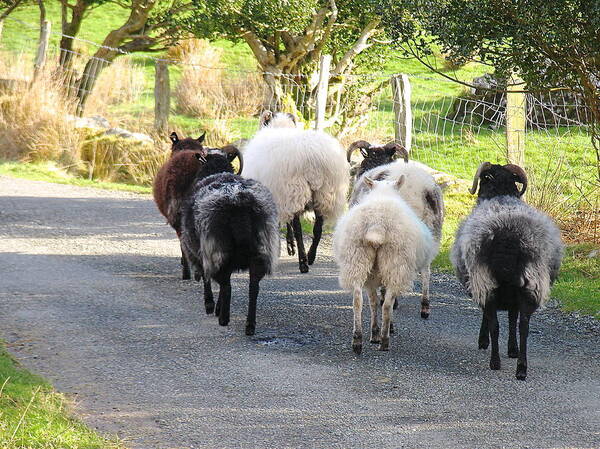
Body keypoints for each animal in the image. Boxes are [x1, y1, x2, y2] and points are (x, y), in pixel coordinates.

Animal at [241, 112, 350, 272]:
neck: (280, 127)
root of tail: (313, 159)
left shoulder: (278, 195)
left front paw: (285, 247)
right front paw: (289, 246)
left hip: (294, 191)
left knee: (298, 228)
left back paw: (303, 262)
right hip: (324, 194)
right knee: (318, 229)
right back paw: (310, 256)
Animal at [332, 175, 436, 354]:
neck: (383, 194)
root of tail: (377, 224)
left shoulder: (373, 277)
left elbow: (374, 302)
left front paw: (374, 332)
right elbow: (386, 301)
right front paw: (388, 329)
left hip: (357, 259)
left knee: (358, 301)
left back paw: (359, 339)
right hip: (395, 262)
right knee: (387, 305)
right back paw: (384, 340)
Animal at [452, 161, 564, 378]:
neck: (500, 195)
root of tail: (509, 235)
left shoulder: (481, 285)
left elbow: (489, 318)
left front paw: (483, 341)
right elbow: (512, 320)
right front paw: (512, 349)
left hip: (486, 281)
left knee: (495, 324)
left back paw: (495, 361)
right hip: (531, 284)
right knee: (524, 326)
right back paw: (521, 368)